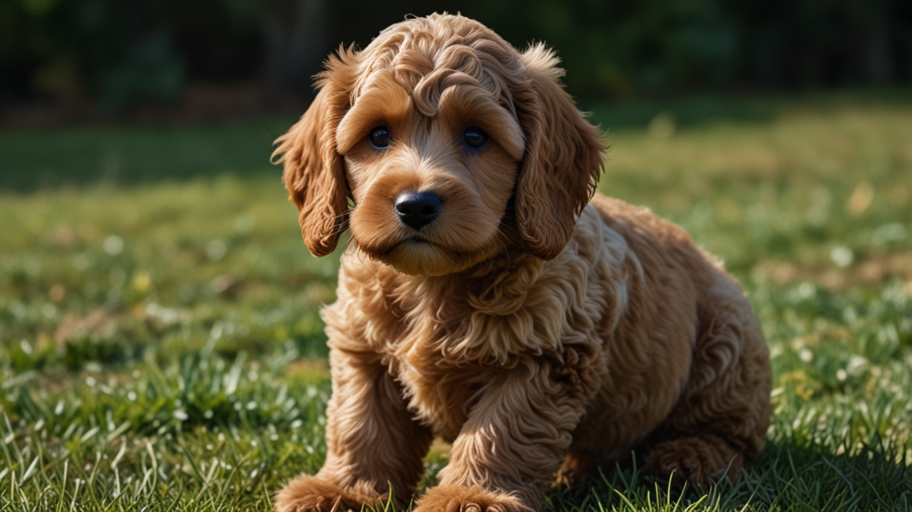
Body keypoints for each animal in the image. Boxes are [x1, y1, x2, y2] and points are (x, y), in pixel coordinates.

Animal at [272, 12, 768, 512]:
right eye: (377, 135)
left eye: (476, 136)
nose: (415, 205)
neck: (436, 284)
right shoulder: (363, 351)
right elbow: (361, 425)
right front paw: (343, 491)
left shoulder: (543, 357)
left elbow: (500, 433)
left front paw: (470, 496)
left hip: (727, 342)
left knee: (731, 432)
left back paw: (690, 458)